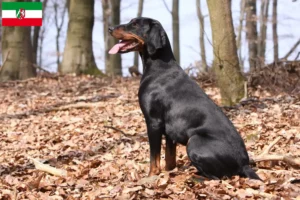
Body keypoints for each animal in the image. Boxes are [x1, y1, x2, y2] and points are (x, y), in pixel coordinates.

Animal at [108, 17, 260, 180]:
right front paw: (169, 173)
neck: (159, 67)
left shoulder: (153, 122)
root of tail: (244, 164)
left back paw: (194, 177)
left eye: (135, 24)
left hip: (194, 141)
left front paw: (151, 176)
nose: (110, 28)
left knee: (218, 177)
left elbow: (154, 157)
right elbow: (169, 158)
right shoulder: (169, 130)